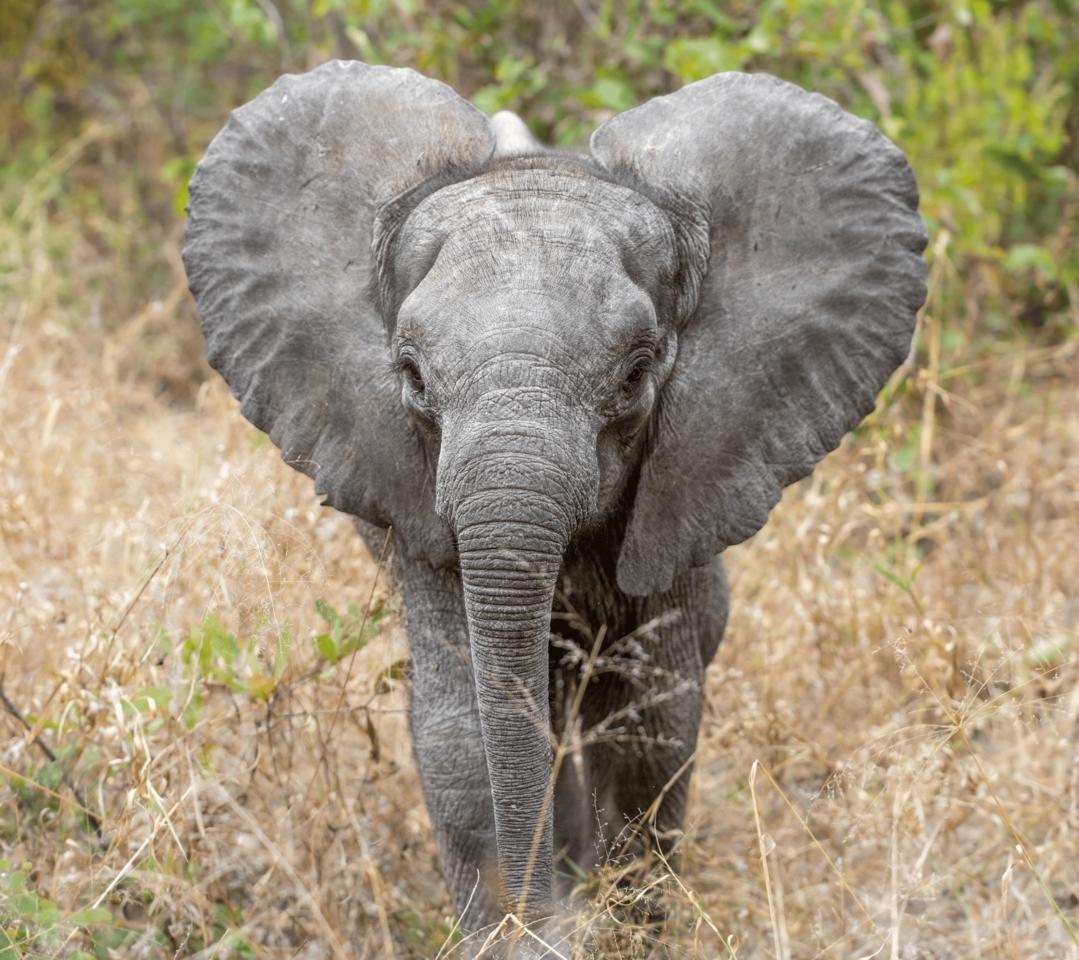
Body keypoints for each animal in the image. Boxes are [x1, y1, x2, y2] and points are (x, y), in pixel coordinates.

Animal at [181, 60, 926, 952]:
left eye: (636, 374)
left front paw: (615, 930)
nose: (542, 929)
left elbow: (647, 728)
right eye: (411, 378)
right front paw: (516, 936)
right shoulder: (417, 505)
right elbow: (465, 729)